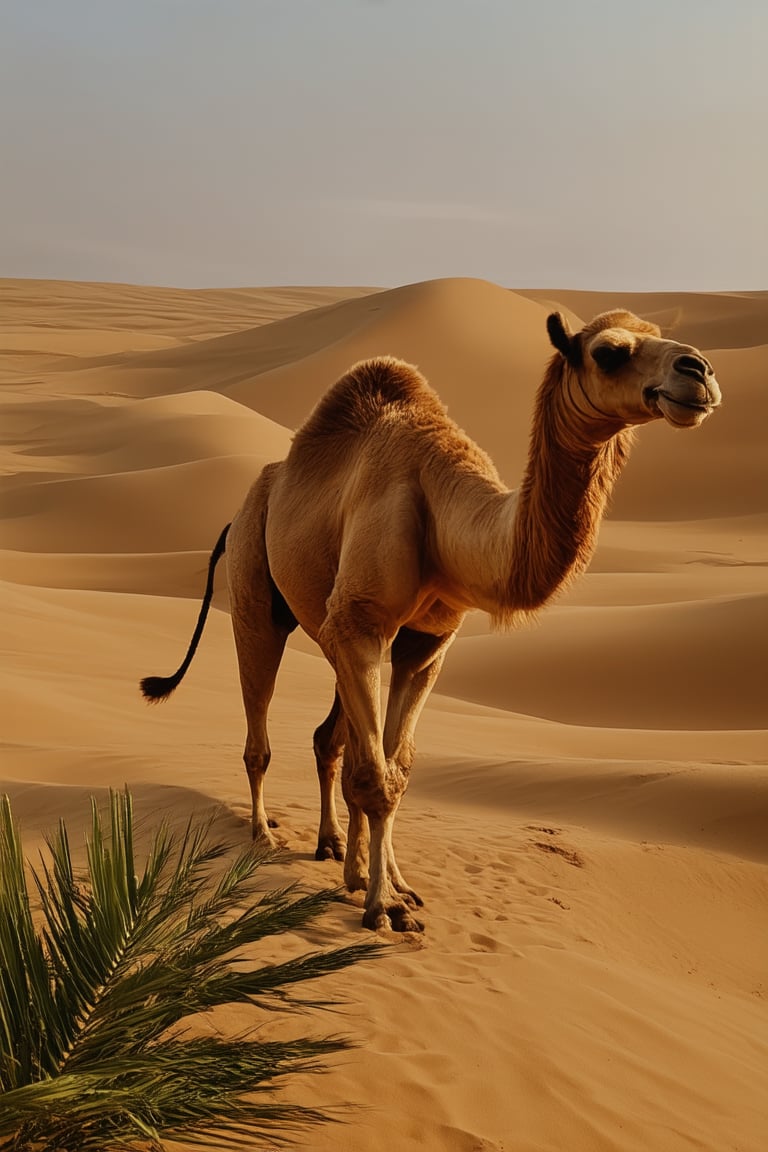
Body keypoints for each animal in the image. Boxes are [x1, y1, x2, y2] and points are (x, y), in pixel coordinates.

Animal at [141, 308, 723, 935]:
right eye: (609, 352)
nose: (699, 370)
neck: (444, 511)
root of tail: (241, 510)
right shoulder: (363, 622)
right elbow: (377, 778)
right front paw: (383, 905)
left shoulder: (426, 640)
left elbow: (396, 767)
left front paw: (392, 883)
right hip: (257, 587)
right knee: (262, 723)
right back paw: (264, 835)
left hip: (332, 628)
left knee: (330, 741)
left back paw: (333, 846)